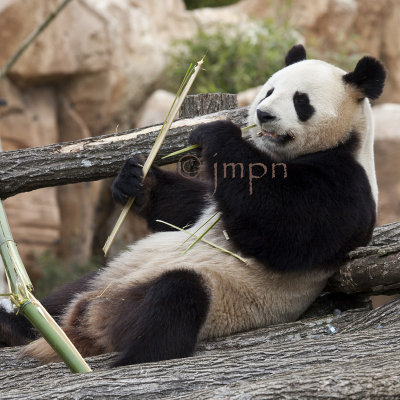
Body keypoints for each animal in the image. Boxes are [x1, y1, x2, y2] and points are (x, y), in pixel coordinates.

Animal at [0, 45, 388, 368]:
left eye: (301, 101)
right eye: (270, 90)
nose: (263, 114)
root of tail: (87, 323)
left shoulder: (346, 186)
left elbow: (284, 229)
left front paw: (215, 132)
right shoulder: (214, 197)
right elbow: (190, 206)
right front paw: (134, 181)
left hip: (209, 296)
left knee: (177, 298)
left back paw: (127, 358)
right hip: (113, 272)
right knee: (63, 295)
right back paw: (18, 324)